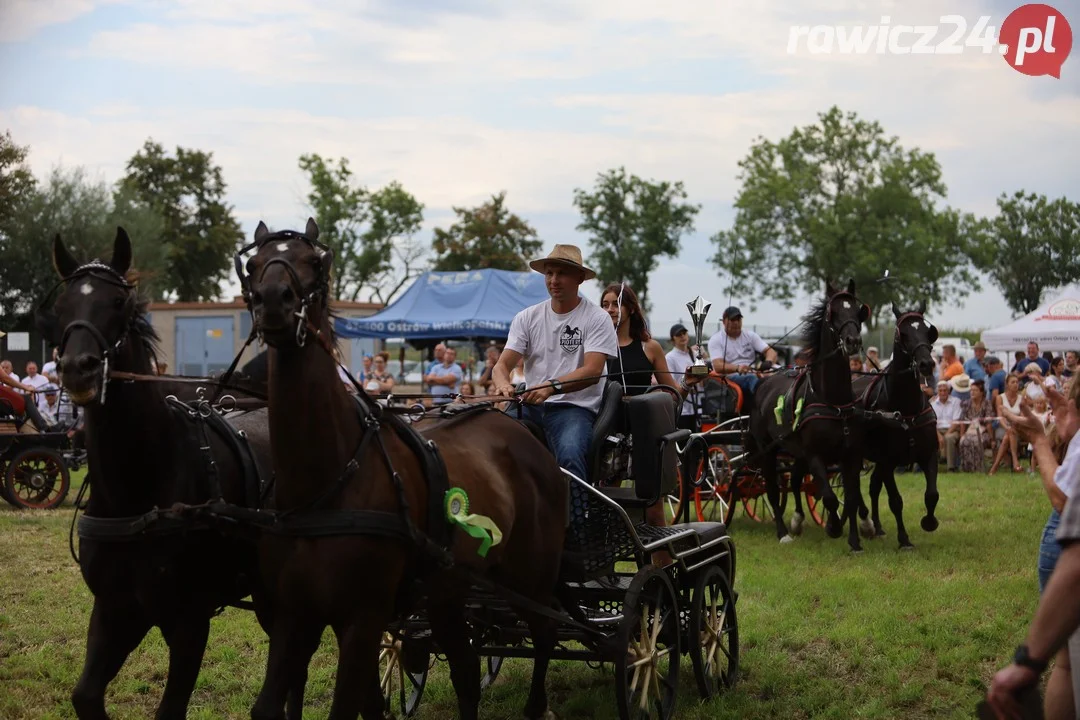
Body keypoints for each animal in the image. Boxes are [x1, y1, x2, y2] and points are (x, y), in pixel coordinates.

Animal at [38, 234, 302, 716]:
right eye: (63, 303)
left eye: (120, 302)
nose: (78, 368)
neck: (140, 490)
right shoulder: (116, 609)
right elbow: (85, 695)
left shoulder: (189, 621)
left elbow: (171, 706)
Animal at [243, 220, 565, 720]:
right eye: (253, 263)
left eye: (314, 262)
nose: (273, 300)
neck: (326, 484)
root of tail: (523, 431)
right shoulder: (292, 614)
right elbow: (273, 705)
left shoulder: (362, 617)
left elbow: (347, 706)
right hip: (451, 591)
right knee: (466, 672)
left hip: (529, 575)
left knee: (545, 635)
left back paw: (537, 706)